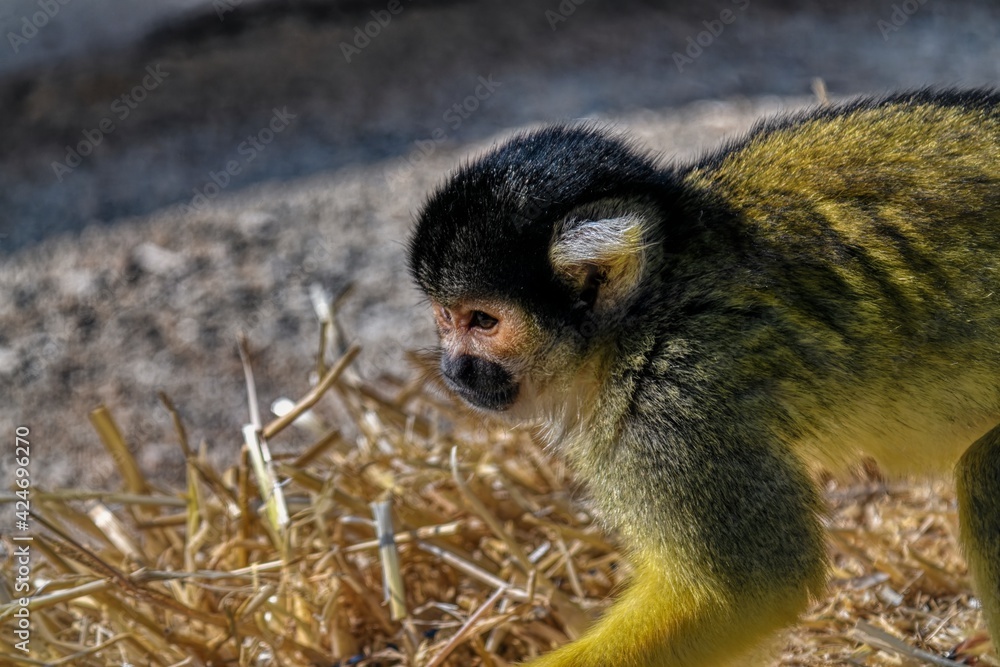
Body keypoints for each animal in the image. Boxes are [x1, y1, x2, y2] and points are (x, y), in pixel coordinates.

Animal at [407, 89, 1000, 666]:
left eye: (482, 322)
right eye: (445, 319)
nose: (454, 370)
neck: (646, 314)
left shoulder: (674, 405)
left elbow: (756, 586)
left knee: (982, 475)